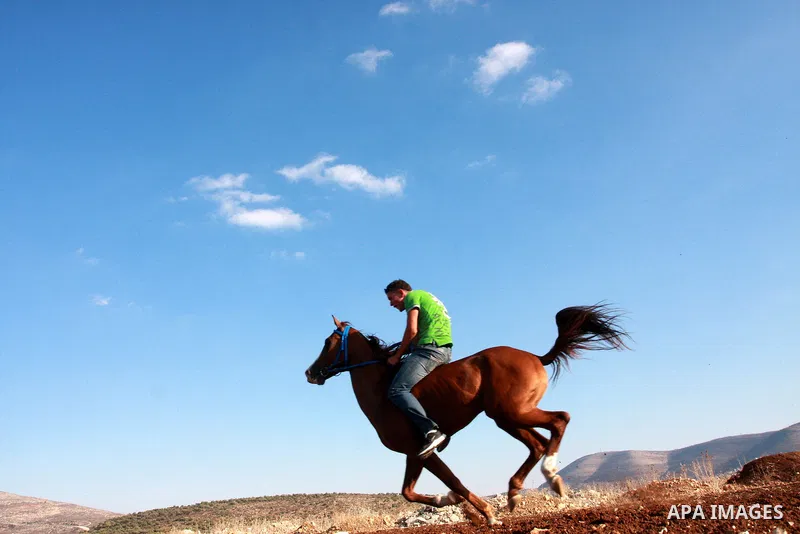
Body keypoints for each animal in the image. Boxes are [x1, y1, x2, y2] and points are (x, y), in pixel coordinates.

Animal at [304, 304, 631, 526]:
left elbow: (452, 482)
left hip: (512, 412)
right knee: (538, 443)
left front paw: (485, 512)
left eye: (327, 342)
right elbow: (409, 491)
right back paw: (516, 491)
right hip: (507, 417)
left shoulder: (421, 451)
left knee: (559, 419)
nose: (310, 373)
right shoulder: (415, 454)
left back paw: (550, 474)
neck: (382, 390)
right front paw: (448, 499)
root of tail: (536, 357)